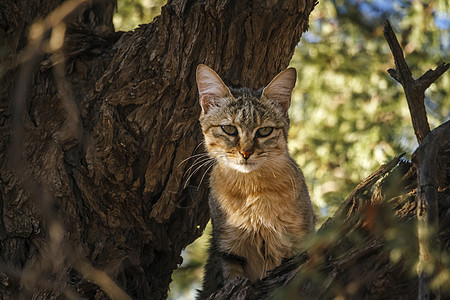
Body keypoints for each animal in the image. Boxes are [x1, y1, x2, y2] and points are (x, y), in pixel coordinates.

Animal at [195, 63, 314, 298]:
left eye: (264, 131)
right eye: (229, 129)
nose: (246, 153)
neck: (252, 189)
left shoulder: (298, 241)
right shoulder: (229, 249)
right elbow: (232, 277)